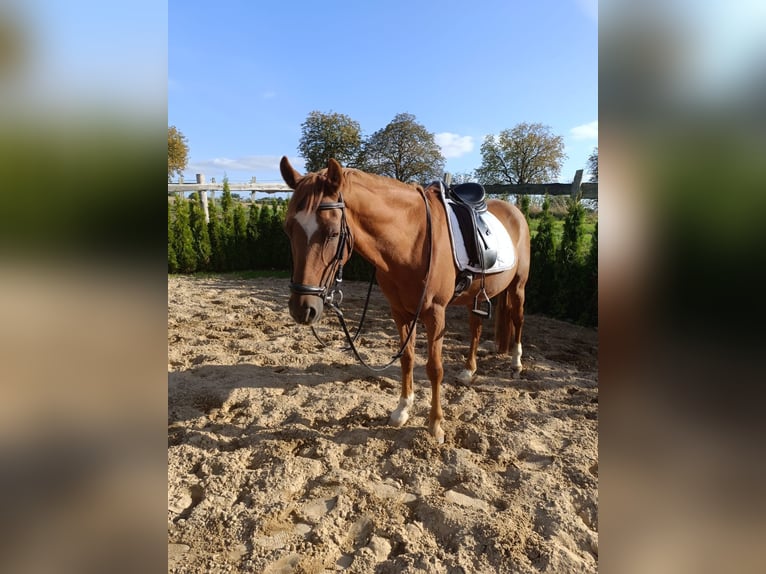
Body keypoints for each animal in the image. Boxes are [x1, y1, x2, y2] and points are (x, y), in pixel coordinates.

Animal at [280, 156, 530, 443]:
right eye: (288, 229)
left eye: (332, 232)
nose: (302, 309)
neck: (412, 241)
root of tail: (515, 211)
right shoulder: (399, 312)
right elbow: (407, 358)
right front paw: (402, 409)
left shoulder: (435, 314)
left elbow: (434, 368)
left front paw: (435, 425)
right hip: (475, 296)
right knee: (475, 328)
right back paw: (469, 371)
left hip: (518, 287)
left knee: (518, 319)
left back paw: (516, 363)